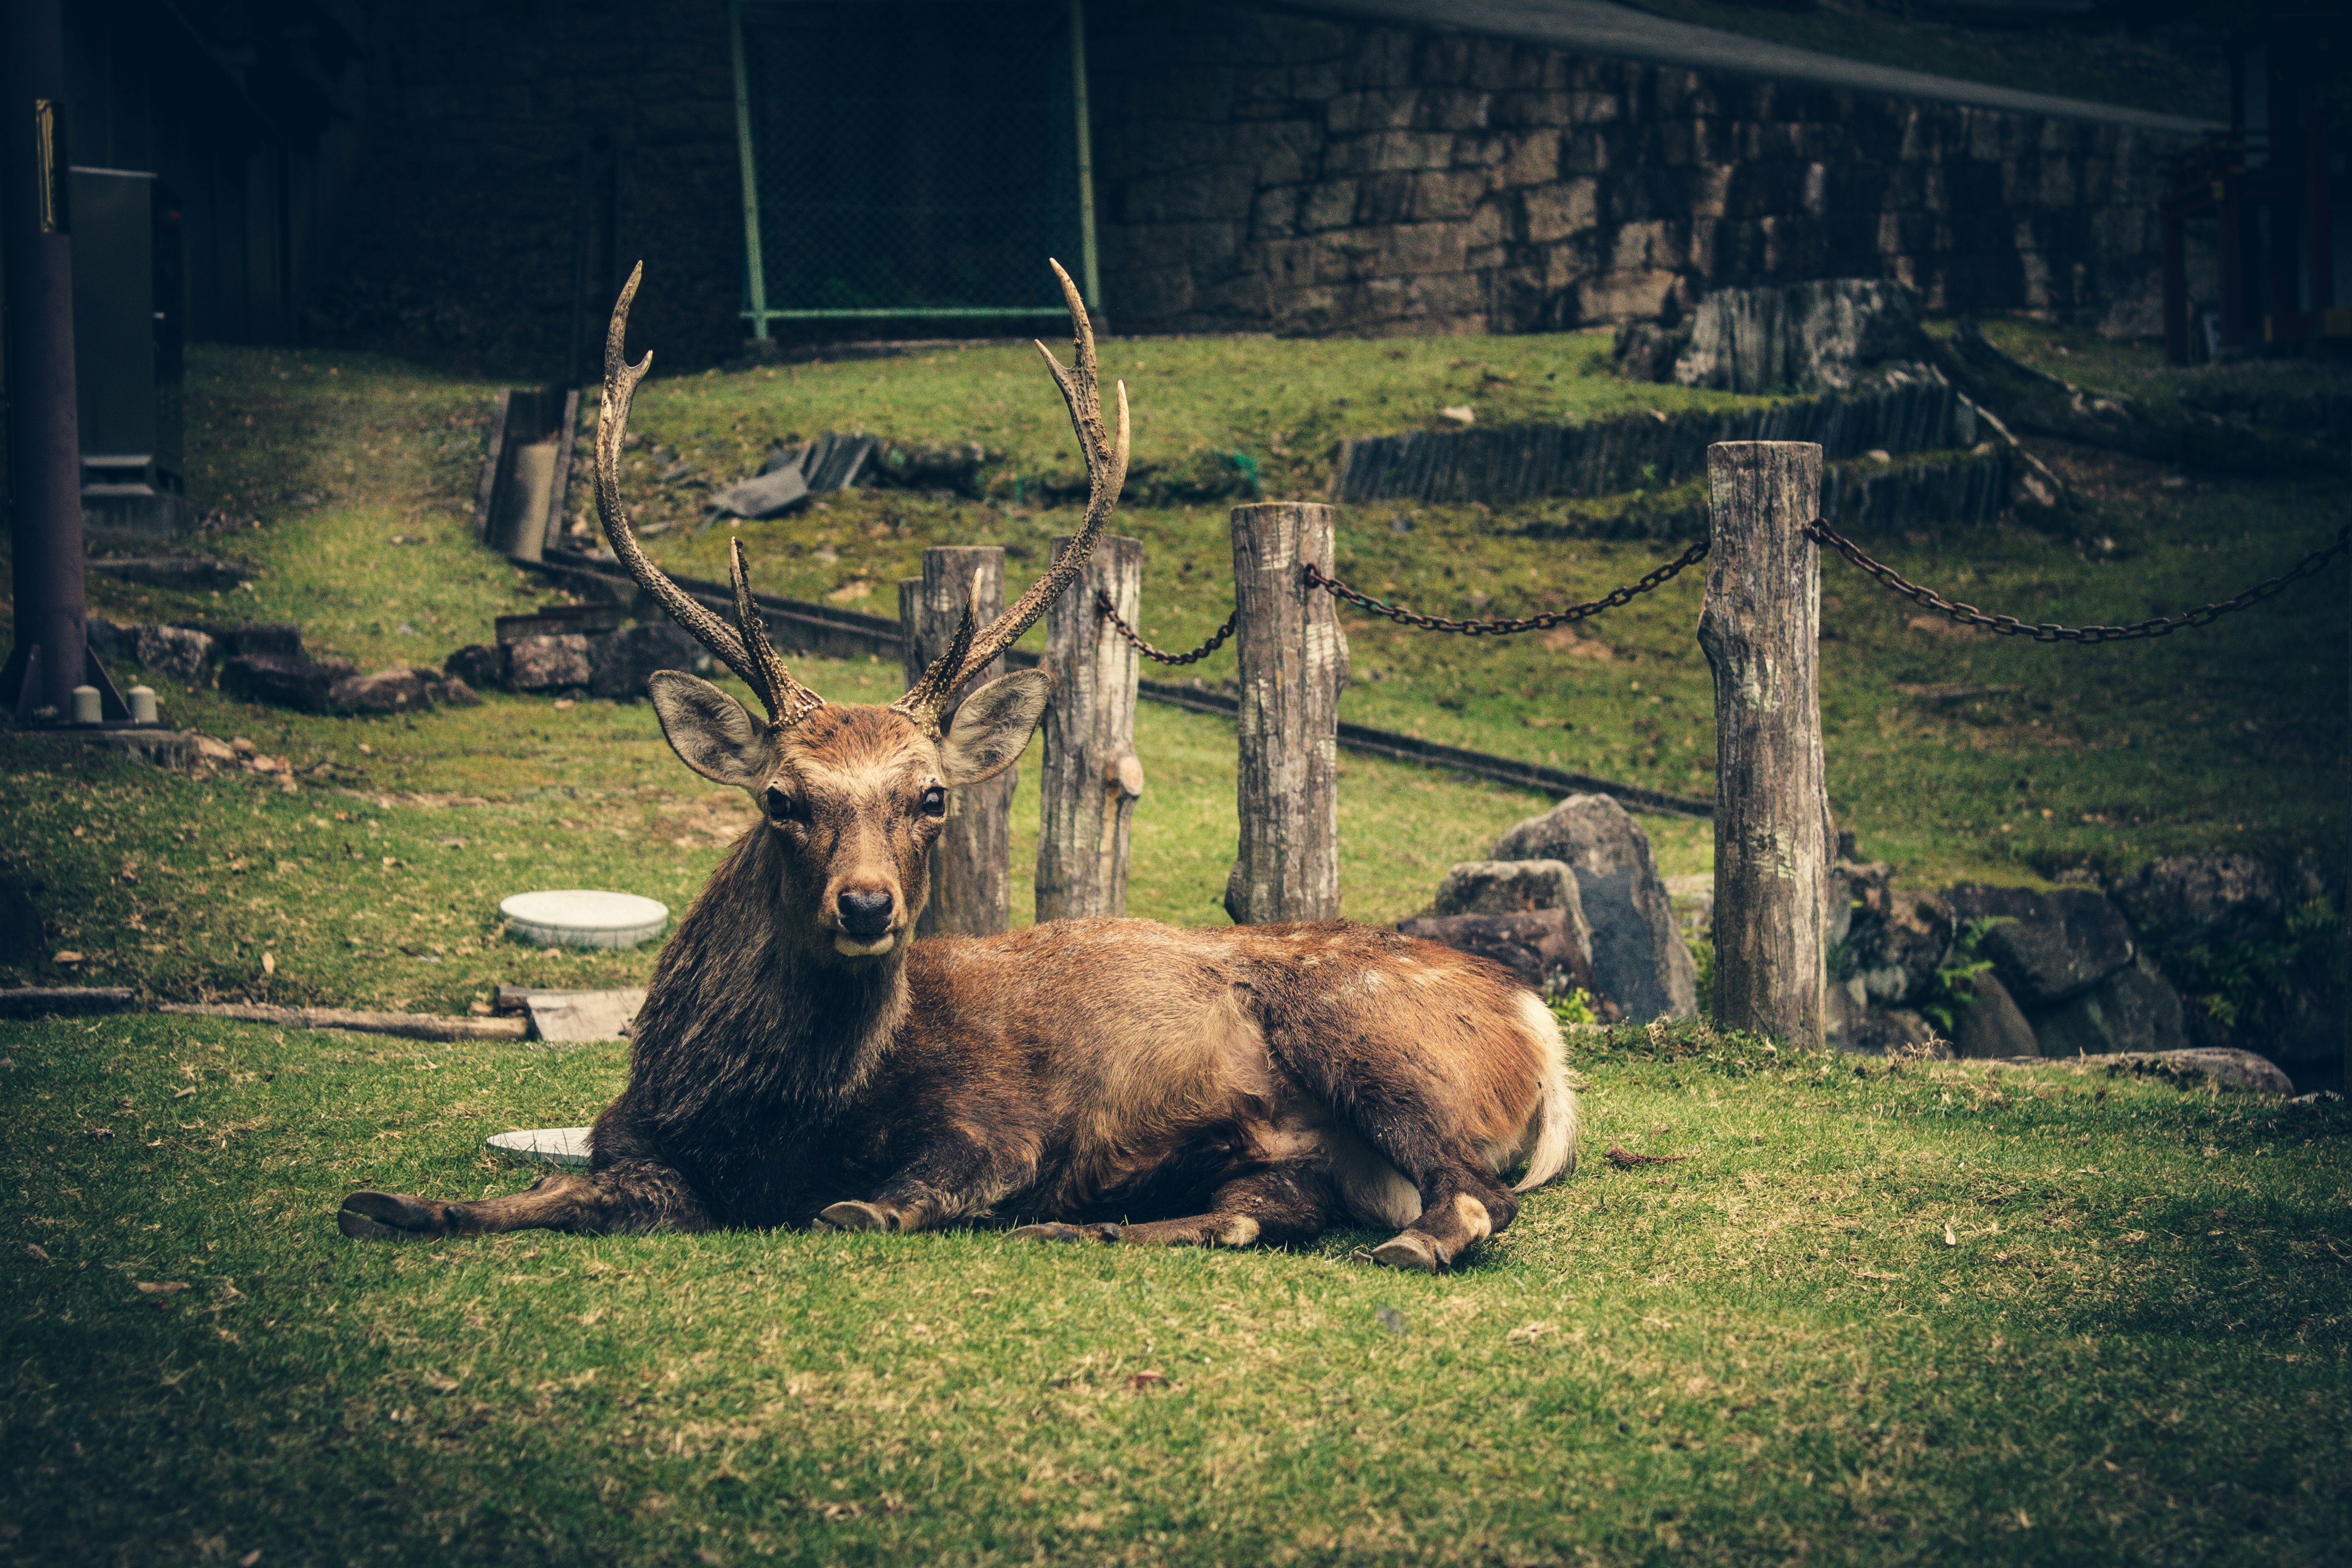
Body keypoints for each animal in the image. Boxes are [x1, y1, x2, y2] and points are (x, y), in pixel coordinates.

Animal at [336, 261, 1577, 1272]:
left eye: (929, 796)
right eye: (780, 798)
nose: (867, 904)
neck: (765, 1117)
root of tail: (1544, 1032)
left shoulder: (995, 1118)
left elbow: (895, 1194)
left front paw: (874, 1203)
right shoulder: (632, 1137)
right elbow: (534, 1192)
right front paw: (389, 1202)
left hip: (1372, 1038)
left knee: (1476, 1195)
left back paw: (1397, 1240)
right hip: (1305, 1145)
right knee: (1273, 1203)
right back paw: (1091, 1228)